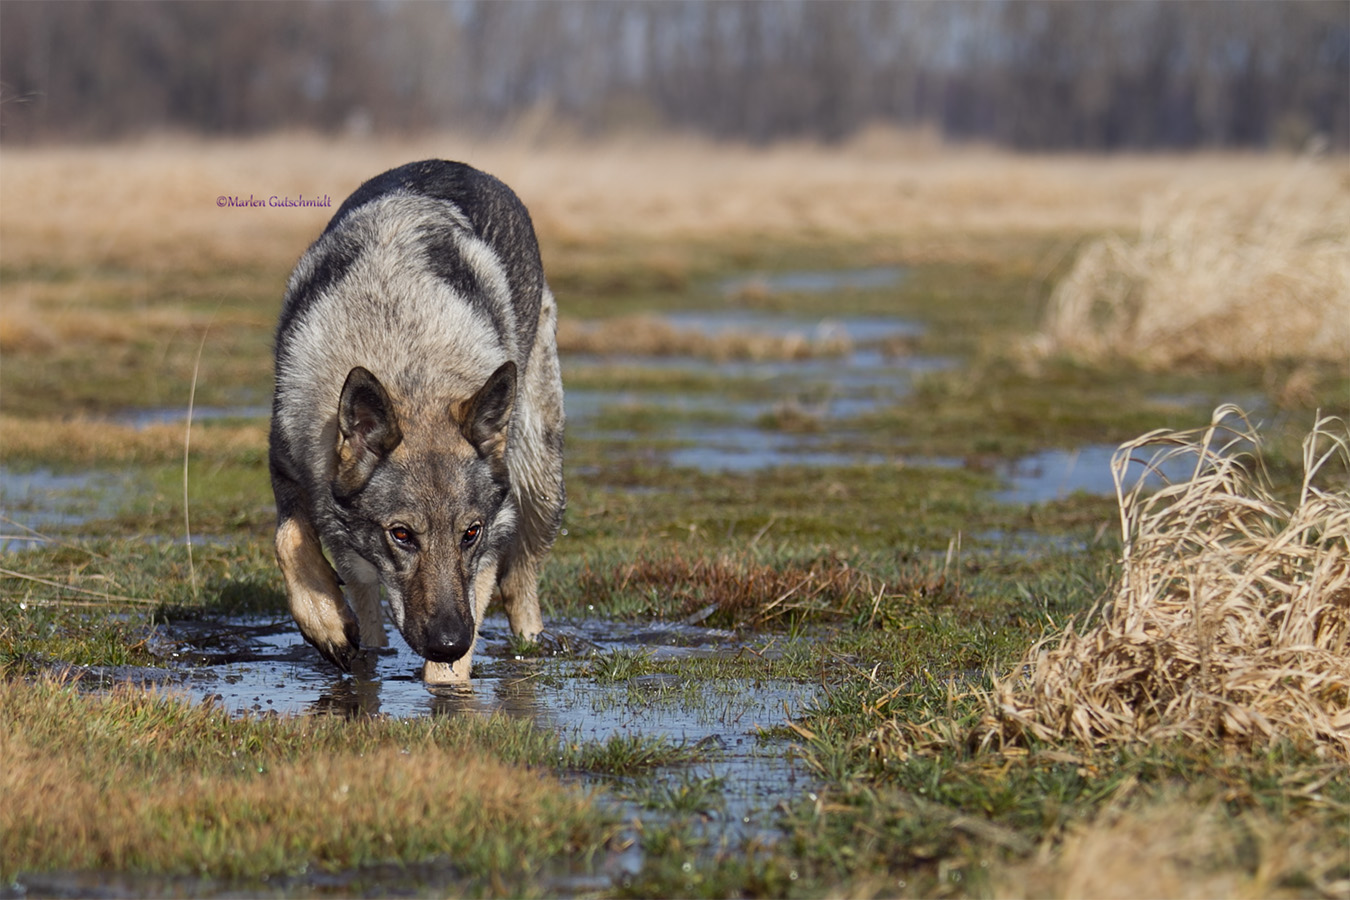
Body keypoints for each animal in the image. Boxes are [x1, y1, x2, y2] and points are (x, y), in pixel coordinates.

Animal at [268, 161, 564, 682]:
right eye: (402, 535)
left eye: (470, 532)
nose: (449, 643)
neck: (406, 363)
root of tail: (457, 164)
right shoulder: (287, 463)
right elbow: (289, 539)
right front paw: (328, 625)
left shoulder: (489, 542)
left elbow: (451, 667)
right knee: (365, 601)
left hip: (538, 483)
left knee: (521, 583)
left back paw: (532, 643)